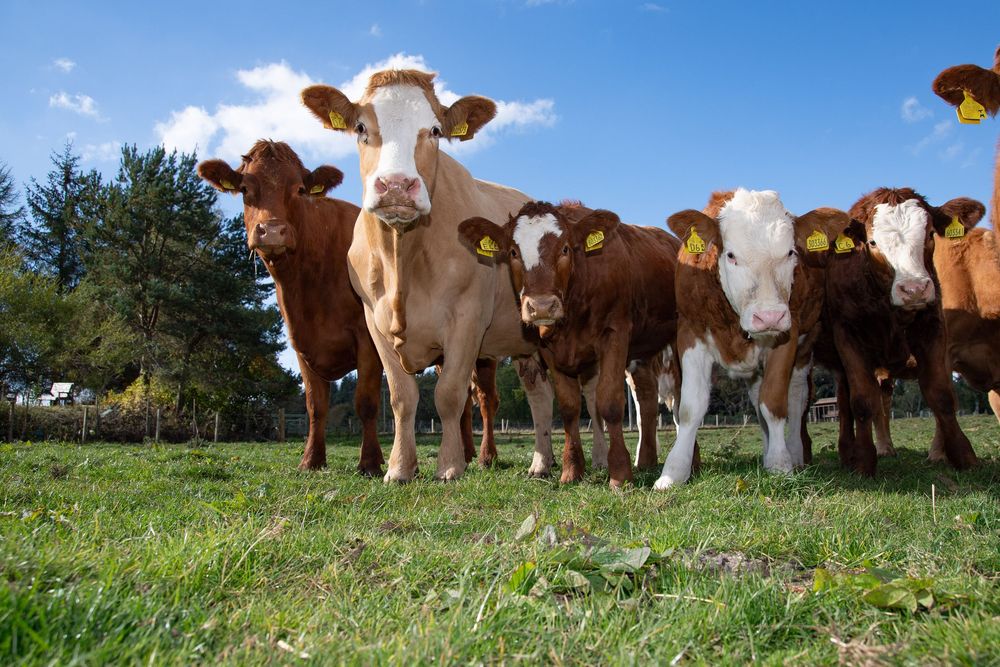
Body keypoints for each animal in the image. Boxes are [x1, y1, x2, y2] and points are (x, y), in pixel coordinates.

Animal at [197, 141, 385, 474]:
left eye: (299, 189)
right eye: (244, 189)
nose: (272, 231)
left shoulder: (367, 339)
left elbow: (366, 401)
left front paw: (370, 463)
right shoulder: (302, 342)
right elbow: (315, 406)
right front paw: (311, 460)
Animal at [301, 70, 557, 482]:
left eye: (435, 130)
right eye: (360, 127)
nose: (396, 185)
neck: (402, 260)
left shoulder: (467, 319)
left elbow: (450, 395)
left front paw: (450, 465)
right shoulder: (374, 324)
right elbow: (402, 398)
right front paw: (399, 468)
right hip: (525, 341)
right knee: (539, 394)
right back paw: (540, 463)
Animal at [459, 201, 685, 487]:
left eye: (565, 248)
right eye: (513, 251)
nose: (542, 306)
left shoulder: (615, 335)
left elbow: (610, 403)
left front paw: (620, 474)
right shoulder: (550, 350)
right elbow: (568, 407)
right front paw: (571, 470)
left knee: (682, 393)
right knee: (645, 395)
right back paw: (646, 460)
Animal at [654, 189, 851, 489]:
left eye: (791, 252)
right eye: (731, 255)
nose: (769, 316)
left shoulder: (787, 338)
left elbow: (774, 404)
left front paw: (780, 463)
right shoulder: (690, 333)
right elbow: (690, 408)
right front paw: (673, 472)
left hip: (804, 350)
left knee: (795, 398)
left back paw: (793, 454)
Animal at [813, 187, 982, 476]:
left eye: (930, 234)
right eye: (872, 242)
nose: (914, 289)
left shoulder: (932, 328)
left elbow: (942, 395)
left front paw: (964, 456)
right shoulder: (847, 336)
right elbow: (862, 401)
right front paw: (864, 463)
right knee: (847, 403)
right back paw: (852, 452)